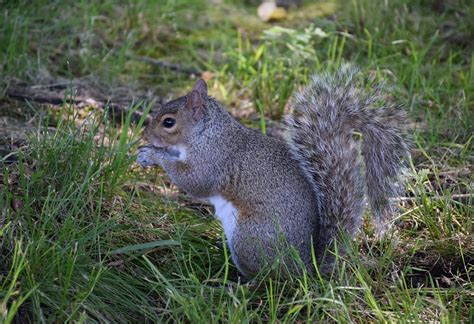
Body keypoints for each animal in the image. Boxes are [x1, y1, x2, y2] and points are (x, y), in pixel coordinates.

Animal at [138, 66, 412, 278]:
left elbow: (194, 181)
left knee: (267, 278)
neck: (206, 133)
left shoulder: (213, 161)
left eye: (169, 122)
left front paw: (153, 155)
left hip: (249, 238)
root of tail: (305, 267)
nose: (145, 133)